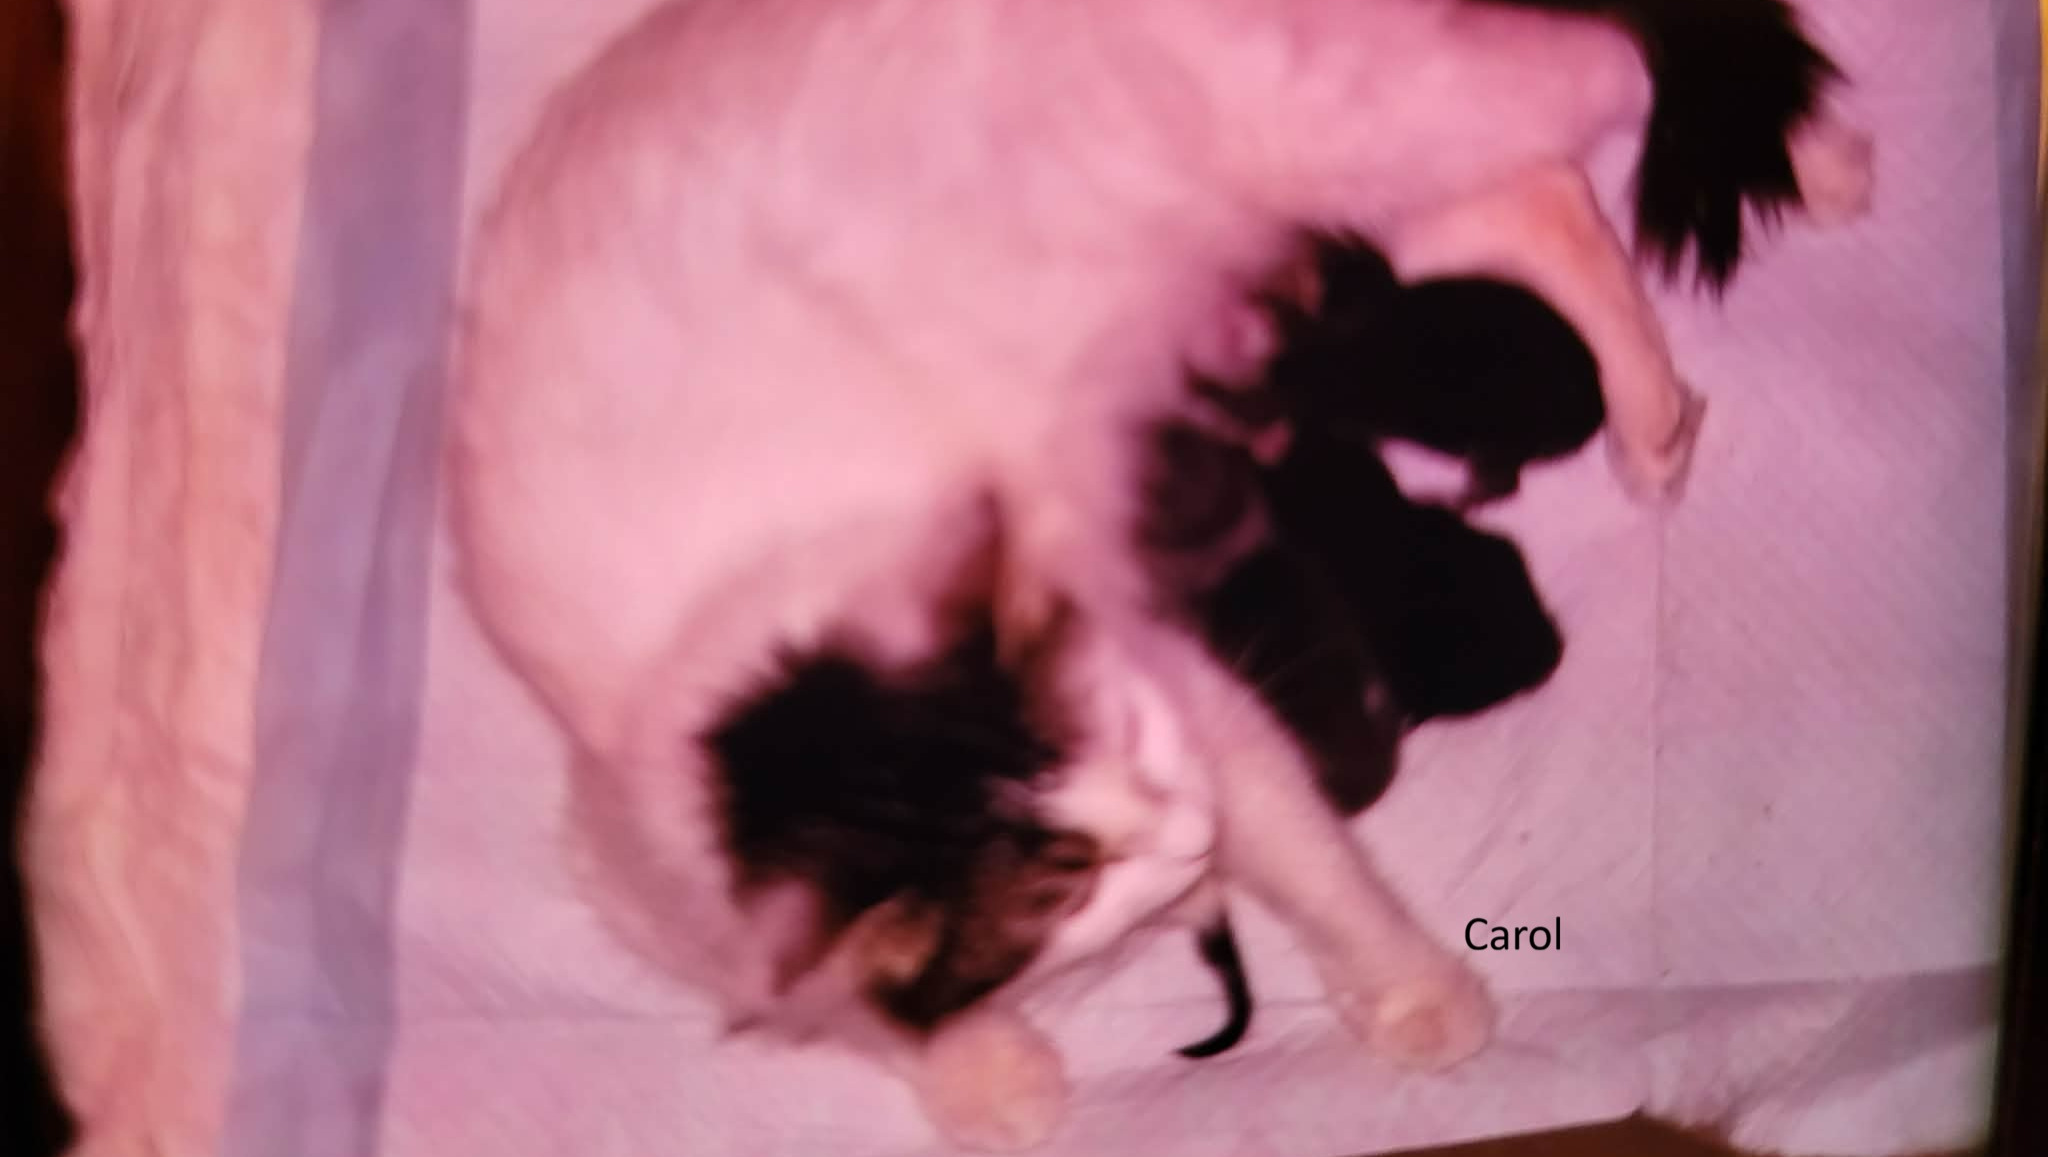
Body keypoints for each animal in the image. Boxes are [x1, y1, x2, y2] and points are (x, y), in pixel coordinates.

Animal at [449, 0, 1868, 1148]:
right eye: (1061, 883)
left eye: (1126, 742)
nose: (1184, 843)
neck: (765, 645)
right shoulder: (650, 874)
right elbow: (859, 1006)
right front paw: (981, 1074)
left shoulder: (1193, 700)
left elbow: (1316, 861)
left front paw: (1416, 990)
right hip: (1363, 173)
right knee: (1532, 192)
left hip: (1354, 101)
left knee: (1601, 74)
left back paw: (1794, 203)